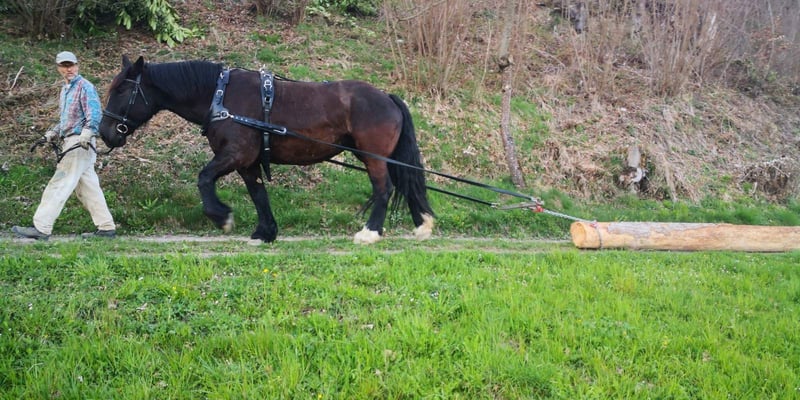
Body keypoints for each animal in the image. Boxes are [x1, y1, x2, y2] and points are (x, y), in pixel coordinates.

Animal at [99, 55, 435, 244]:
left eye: (123, 90)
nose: (105, 132)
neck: (220, 96)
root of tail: (387, 97)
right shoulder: (248, 163)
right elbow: (258, 194)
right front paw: (266, 232)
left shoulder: (235, 154)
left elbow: (204, 178)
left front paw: (221, 217)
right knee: (405, 184)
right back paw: (422, 225)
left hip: (373, 157)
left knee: (383, 189)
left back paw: (370, 233)